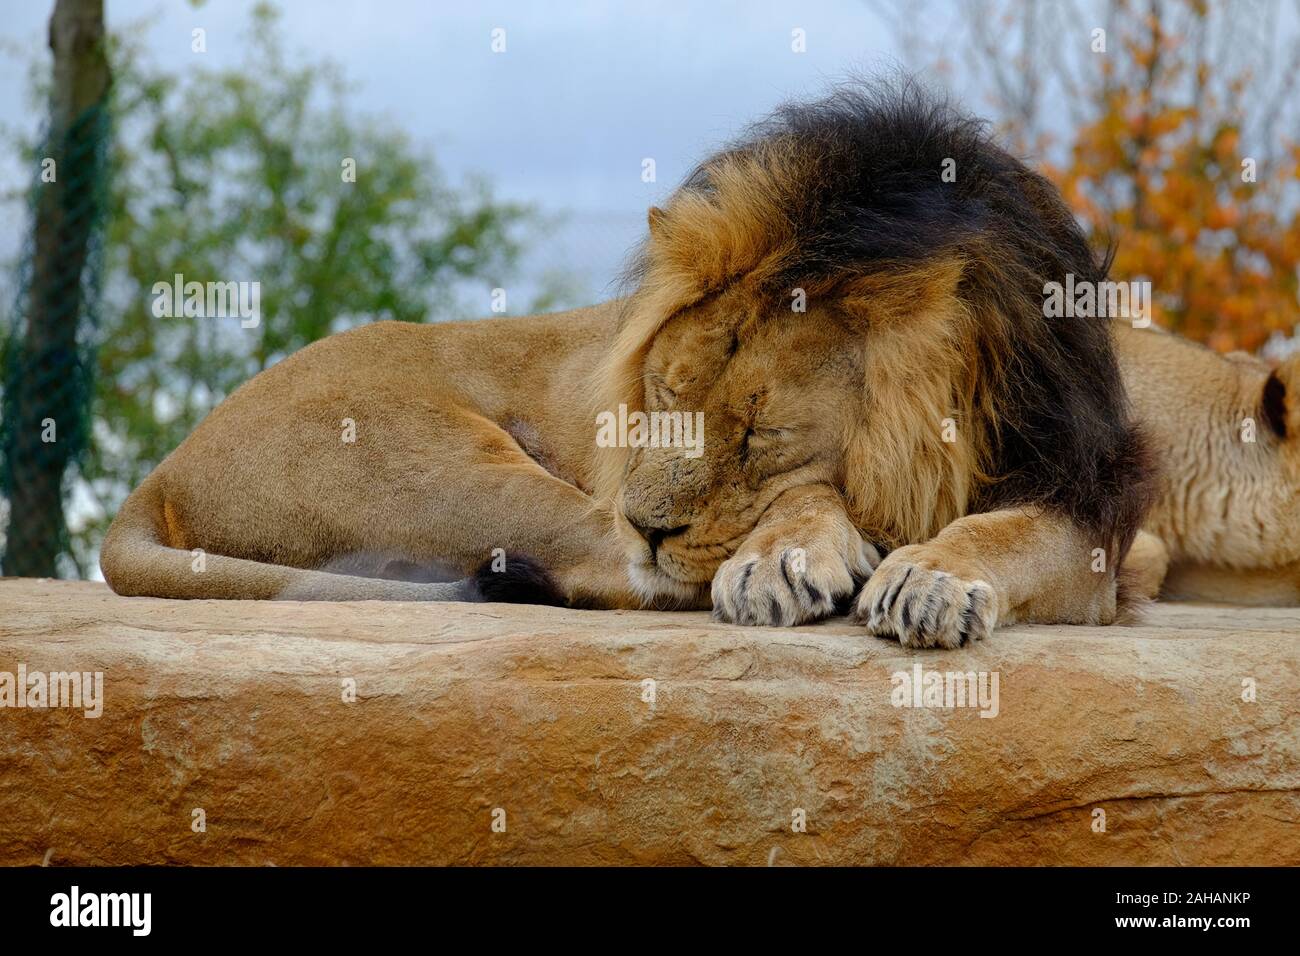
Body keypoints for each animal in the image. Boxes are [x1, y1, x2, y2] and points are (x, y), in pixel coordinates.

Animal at [101, 82, 1155, 648]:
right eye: (659, 399)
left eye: (760, 430)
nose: (651, 523)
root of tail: (162, 468)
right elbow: (812, 502)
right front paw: (787, 557)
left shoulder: (1096, 500)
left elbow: (1016, 534)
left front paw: (930, 577)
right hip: (440, 458)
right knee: (595, 568)